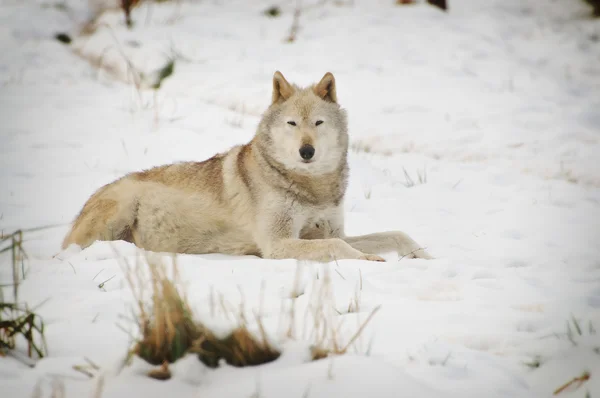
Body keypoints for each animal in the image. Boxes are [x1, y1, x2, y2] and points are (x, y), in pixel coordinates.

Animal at [63, 71, 432, 262]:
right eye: (292, 124)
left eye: (318, 122)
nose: (307, 151)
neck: (312, 188)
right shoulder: (278, 244)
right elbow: (340, 248)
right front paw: (369, 261)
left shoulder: (331, 230)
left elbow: (396, 234)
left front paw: (425, 258)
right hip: (118, 211)